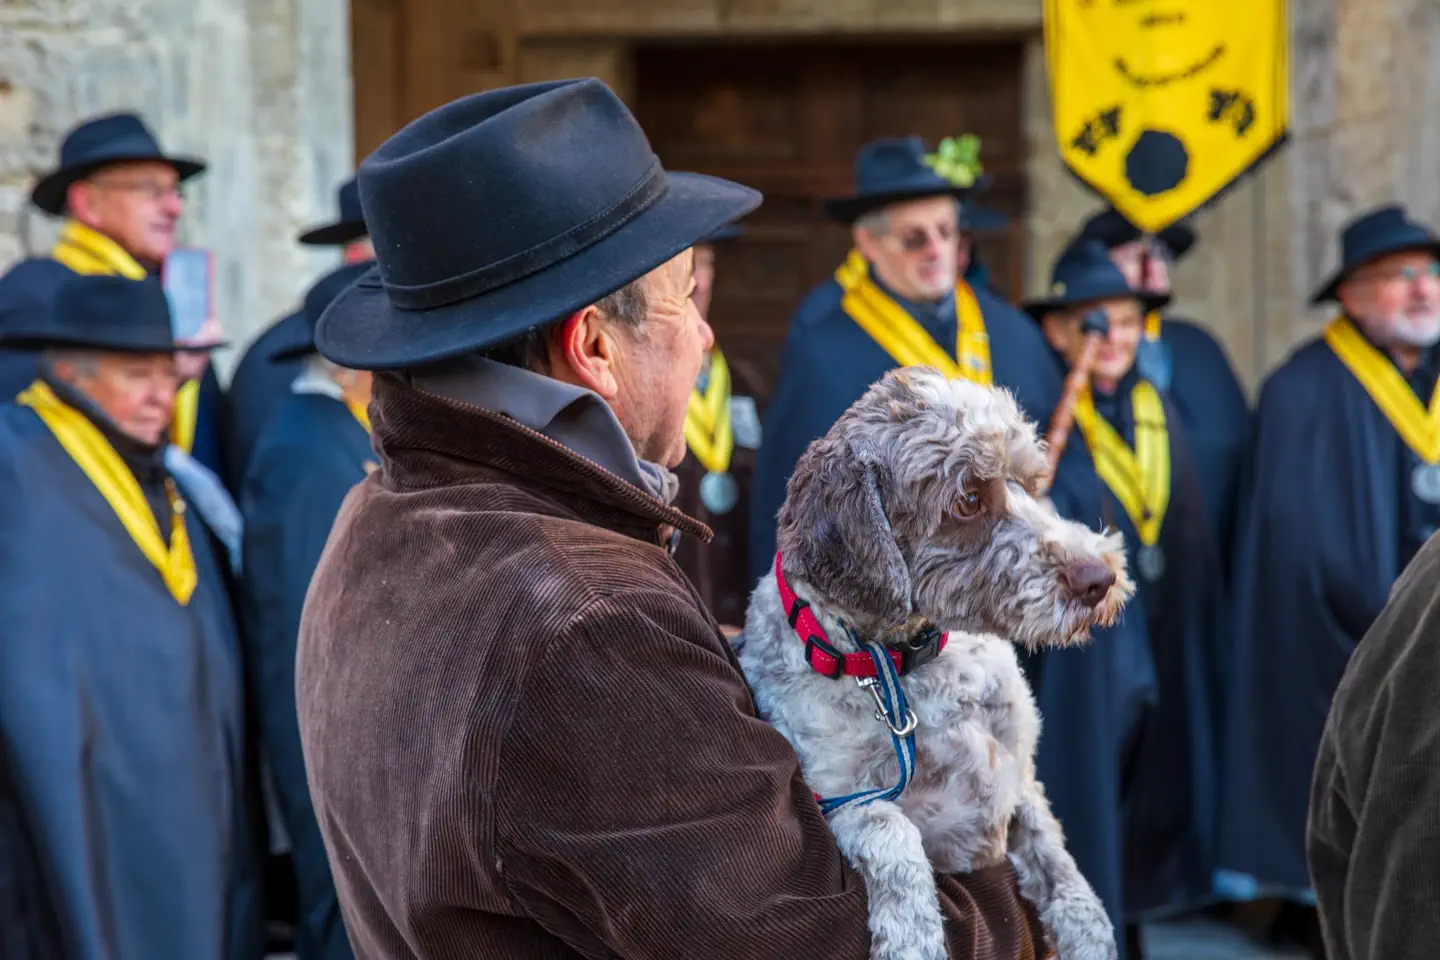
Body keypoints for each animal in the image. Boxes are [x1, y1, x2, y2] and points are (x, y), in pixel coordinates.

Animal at [743, 368, 1134, 960]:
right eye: (969, 499)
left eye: (1029, 481)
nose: (1100, 578)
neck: (902, 672)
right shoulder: (836, 798)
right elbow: (892, 829)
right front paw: (913, 938)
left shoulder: (1020, 781)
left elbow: (1058, 858)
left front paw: (1089, 935)